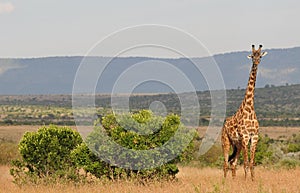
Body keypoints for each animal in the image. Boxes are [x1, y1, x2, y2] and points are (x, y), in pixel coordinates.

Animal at [220, 44, 268, 180]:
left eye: (260, 56)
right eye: (252, 56)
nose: (256, 63)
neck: (249, 109)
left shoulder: (254, 137)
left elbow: (251, 163)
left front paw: (252, 180)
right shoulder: (245, 137)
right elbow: (246, 163)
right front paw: (246, 181)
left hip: (238, 145)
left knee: (233, 162)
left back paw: (233, 180)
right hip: (226, 141)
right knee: (225, 162)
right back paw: (224, 181)